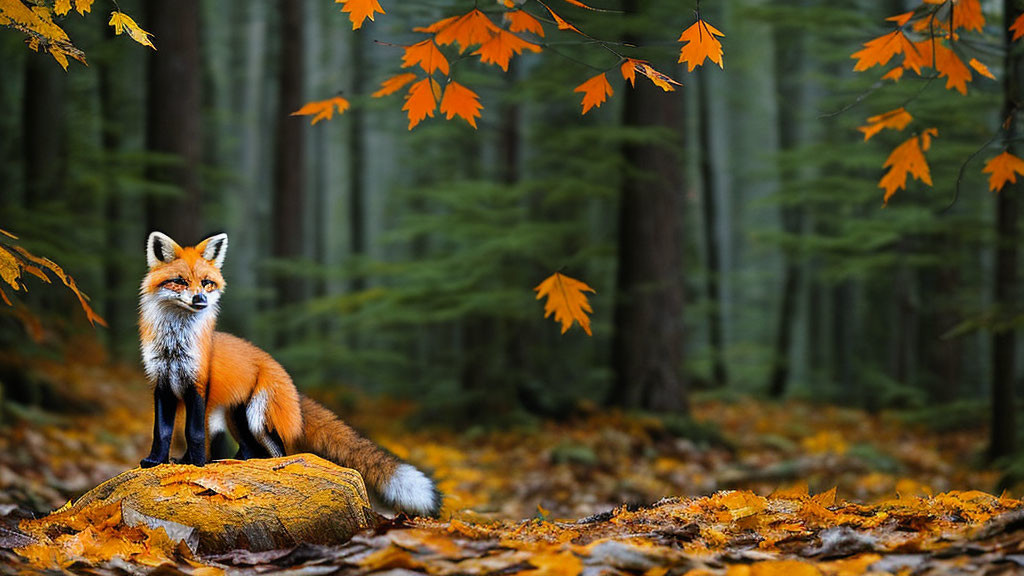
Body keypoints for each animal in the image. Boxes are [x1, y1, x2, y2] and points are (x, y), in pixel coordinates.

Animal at [137, 229, 440, 516]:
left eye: (206, 282)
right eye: (180, 281)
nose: (200, 299)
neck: (174, 346)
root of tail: (283, 371)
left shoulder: (198, 386)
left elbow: (194, 432)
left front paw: (196, 464)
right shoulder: (163, 383)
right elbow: (162, 430)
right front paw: (157, 461)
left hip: (257, 417)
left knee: (277, 451)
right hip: (236, 417)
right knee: (250, 449)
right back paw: (236, 462)